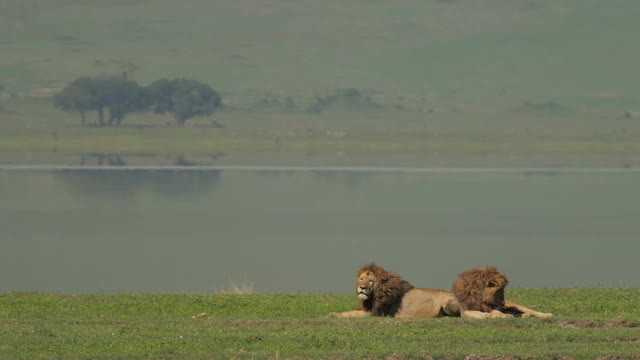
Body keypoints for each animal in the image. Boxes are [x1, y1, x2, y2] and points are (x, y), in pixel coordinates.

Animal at [330, 262, 460, 320]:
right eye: (361, 279)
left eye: (371, 281)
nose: (362, 287)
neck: (374, 295)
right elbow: (349, 311)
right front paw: (333, 313)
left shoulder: (375, 313)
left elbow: (350, 313)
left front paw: (334, 315)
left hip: (446, 304)